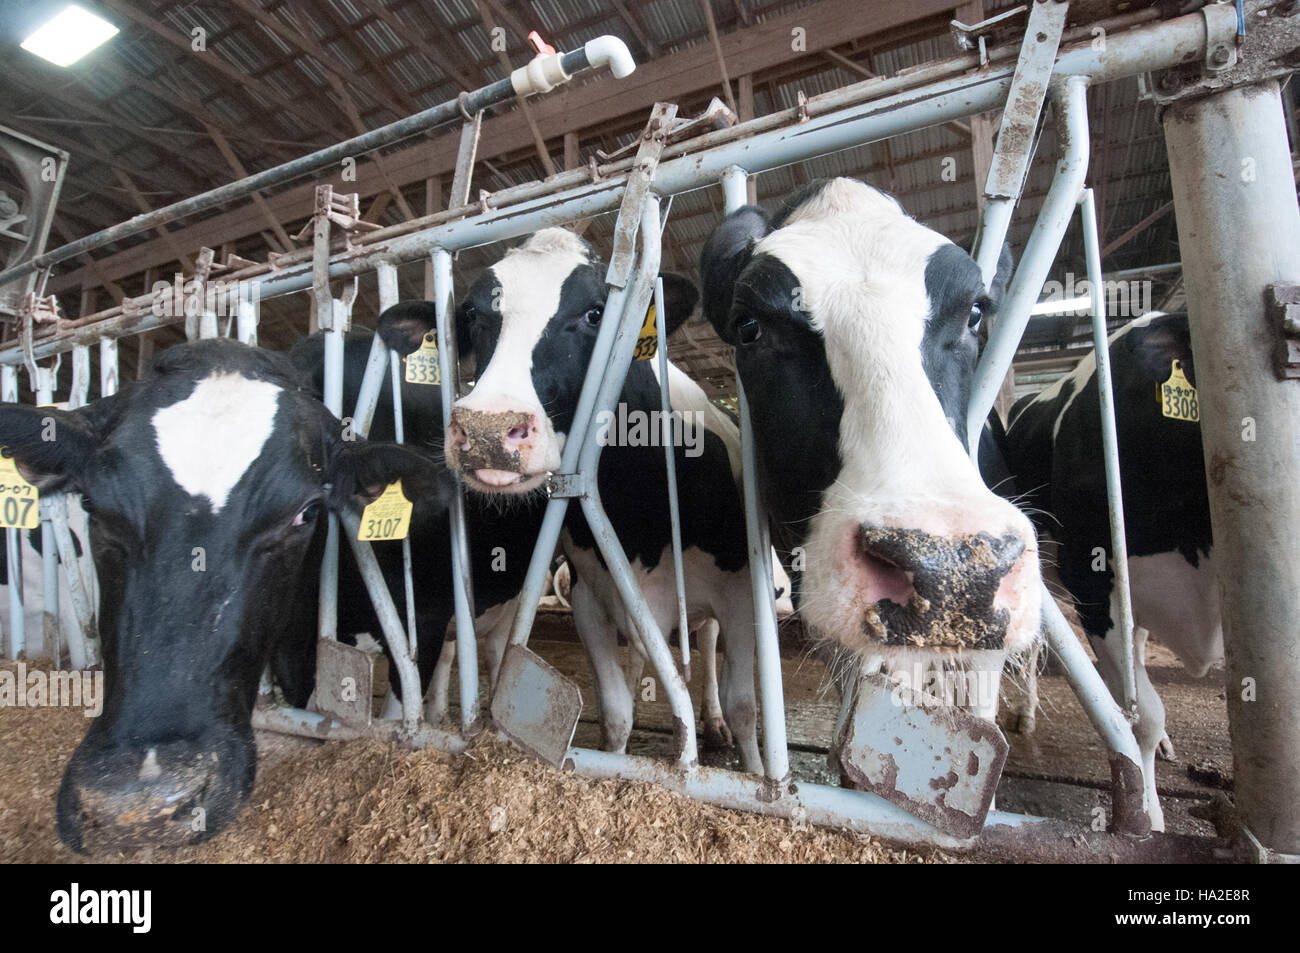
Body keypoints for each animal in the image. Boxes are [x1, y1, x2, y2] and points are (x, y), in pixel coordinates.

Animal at [441, 230, 759, 774]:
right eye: (475, 314)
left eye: (594, 313)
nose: (486, 431)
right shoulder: (591, 598)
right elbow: (616, 712)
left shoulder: (737, 594)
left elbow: (744, 708)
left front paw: (762, 774)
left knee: (708, 646)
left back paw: (712, 721)